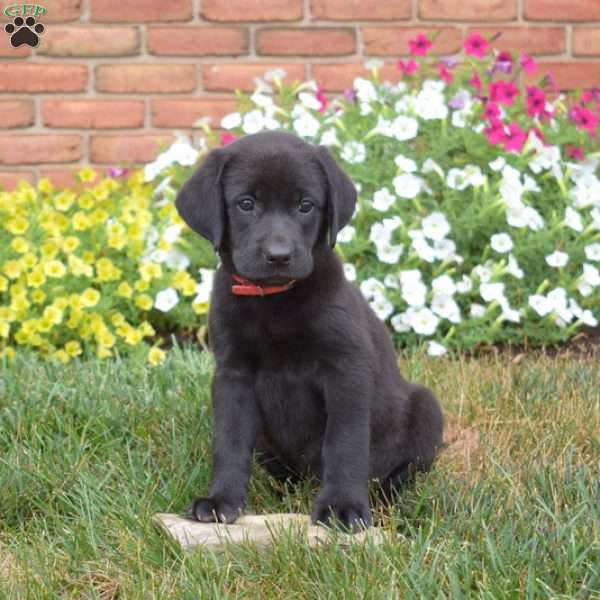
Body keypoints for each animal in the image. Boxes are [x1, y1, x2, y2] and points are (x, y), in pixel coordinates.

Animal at [176, 131, 442, 528]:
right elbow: (230, 441)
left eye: (305, 205)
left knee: (403, 470)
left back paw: (388, 497)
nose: (279, 256)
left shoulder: (345, 370)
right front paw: (222, 499)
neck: (273, 301)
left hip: (426, 407)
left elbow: (344, 442)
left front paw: (343, 506)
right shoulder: (232, 374)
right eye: (246, 204)